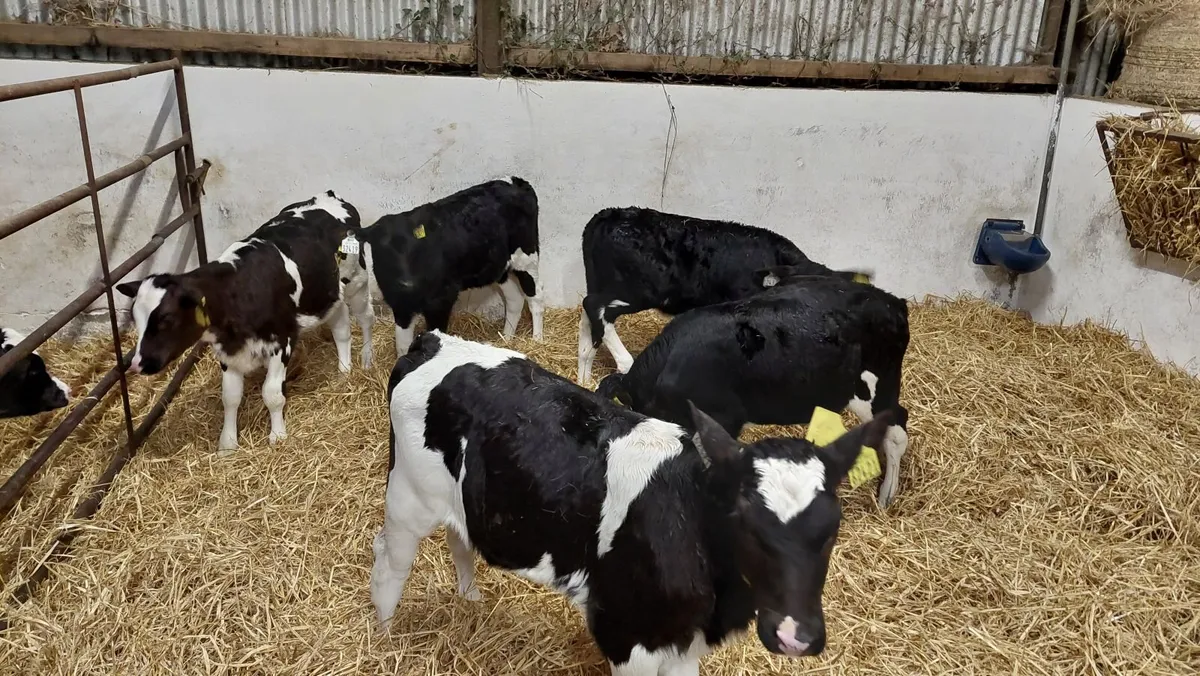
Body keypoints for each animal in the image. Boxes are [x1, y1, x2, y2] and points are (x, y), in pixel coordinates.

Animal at [115, 190, 373, 453]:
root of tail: (327, 195)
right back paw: (344, 371)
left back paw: (366, 360)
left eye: (167, 317)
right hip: (330, 296)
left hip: (357, 281)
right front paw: (227, 444)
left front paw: (277, 436)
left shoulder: (282, 342)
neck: (239, 291)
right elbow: (230, 397)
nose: (136, 363)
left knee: (366, 317)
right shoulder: (227, 351)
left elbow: (272, 394)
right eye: (135, 317)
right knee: (341, 328)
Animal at [346, 177, 543, 358]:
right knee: (514, 299)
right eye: (383, 250)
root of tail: (516, 182)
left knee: (536, 298)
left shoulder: (441, 300)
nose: (407, 282)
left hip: (527, 258)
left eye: (415, 247)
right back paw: (507, 339)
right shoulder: (400, 305)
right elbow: (402, 346)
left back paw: (537, 340)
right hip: (499, 267)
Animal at [370, 329, 894, 675]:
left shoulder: (682, 647)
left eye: (832, 527)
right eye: (745, 519)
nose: (795, 636)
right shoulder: (626, 634)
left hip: (458, 500)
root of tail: (433, 341)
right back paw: (385, 638)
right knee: (388, 565)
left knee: (459, 537)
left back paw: (471, 600)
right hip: (406, 499)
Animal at [577, 207, 872, 384]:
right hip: (640, 290)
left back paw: (583, 377)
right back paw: (624, 363)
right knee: (595, 307)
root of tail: (610, 214)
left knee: (588, 320)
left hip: (604, 283)